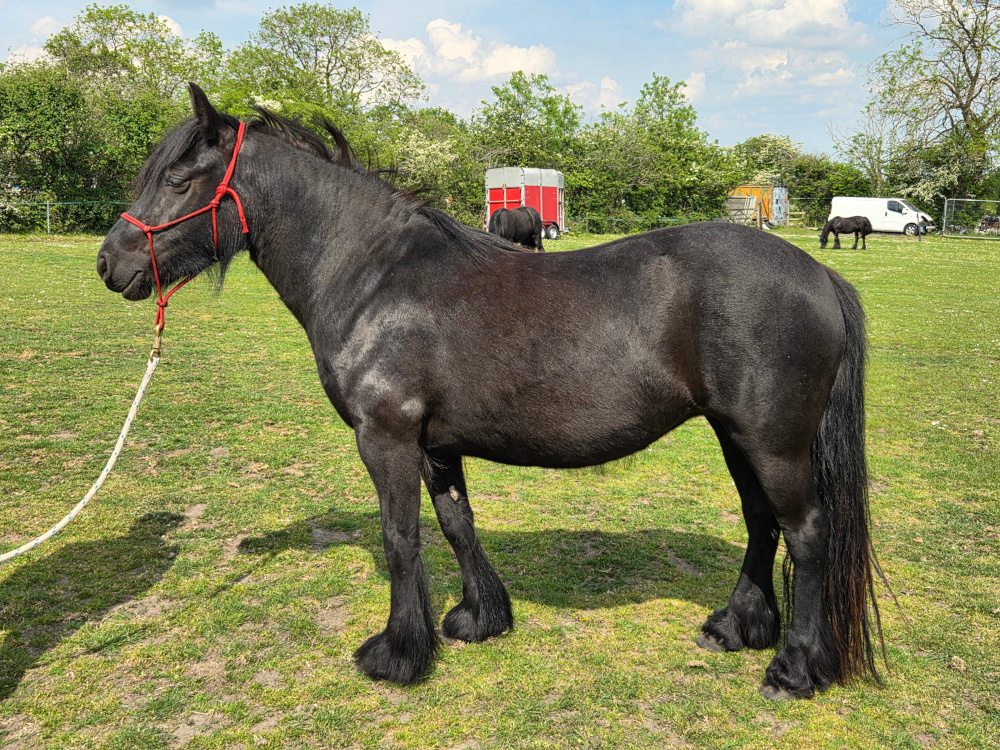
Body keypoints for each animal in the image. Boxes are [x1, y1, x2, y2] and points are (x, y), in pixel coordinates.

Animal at [96, 84, 884, 700]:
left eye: (176, 182)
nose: (110, 263)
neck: (374, 276)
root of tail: (820, 275)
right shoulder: (434, 445)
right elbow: (455, 524)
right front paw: (479, 619)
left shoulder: (385, 436)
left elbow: (401, 536)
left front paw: (397, 654)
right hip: (735, 436)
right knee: (761, 523)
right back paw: (737, 627)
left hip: (772, 442)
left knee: (806, 532)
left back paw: (792, 667)